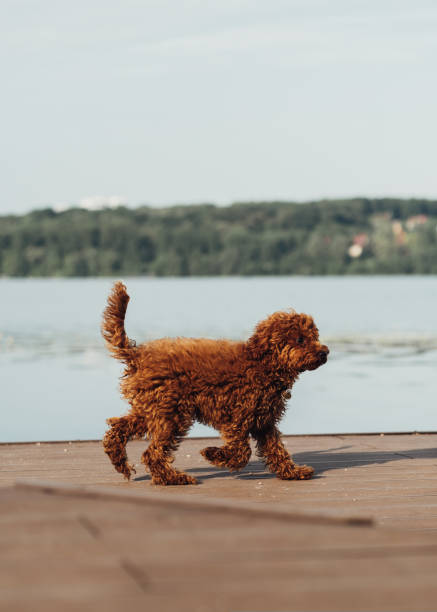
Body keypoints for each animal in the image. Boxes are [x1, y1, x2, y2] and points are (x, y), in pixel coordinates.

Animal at [102, 284, 328, 488]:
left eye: (314, 336)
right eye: (300, 339)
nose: (324, 352)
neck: (263, 365)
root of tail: (138, 354)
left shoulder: (263, 421)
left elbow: (276, 450)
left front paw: (292, 472)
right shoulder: (238, 418)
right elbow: (242, 451)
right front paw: (213, 454)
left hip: (152, 409)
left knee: (118, 429)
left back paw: (121, 463)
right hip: (170, 413)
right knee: (152, 453)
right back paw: (173, 478)